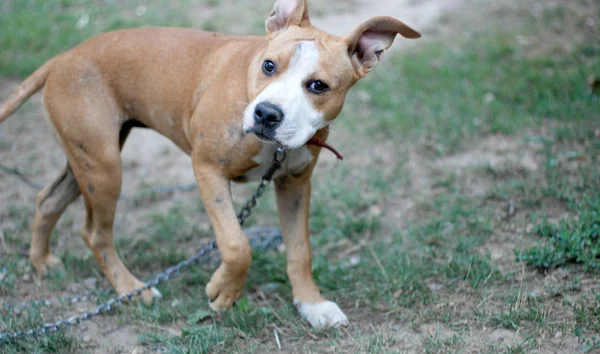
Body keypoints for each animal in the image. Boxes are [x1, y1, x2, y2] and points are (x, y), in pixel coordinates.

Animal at [0, 0, 420, 330]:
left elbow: (300, 250)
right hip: (104, 168)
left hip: (86, 160)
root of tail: (62, 57)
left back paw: (41, 262)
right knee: (95, 233)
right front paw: (225, 291)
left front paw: (312, 305)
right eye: (269, 66)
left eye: (318, 86)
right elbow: (237, 244)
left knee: (47, 200)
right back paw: (132, 290)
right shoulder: (207, 170)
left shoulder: (295, 184)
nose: (267, 114)